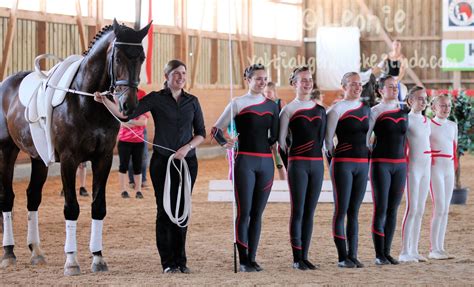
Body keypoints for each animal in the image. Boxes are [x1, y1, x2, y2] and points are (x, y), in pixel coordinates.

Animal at [0, 20, 150, 276]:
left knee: (33, 197)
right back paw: (9, 253)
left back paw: (36, 251)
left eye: (141, 57)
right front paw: (71, 261)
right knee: (7, 197)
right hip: (6, 151)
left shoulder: (103, 159)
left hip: (39, 157)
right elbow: (71, 208)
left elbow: (98, 206)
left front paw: (98, 258)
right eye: (118, 57)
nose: (128, 105)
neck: (87, 99)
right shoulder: (69, 160)